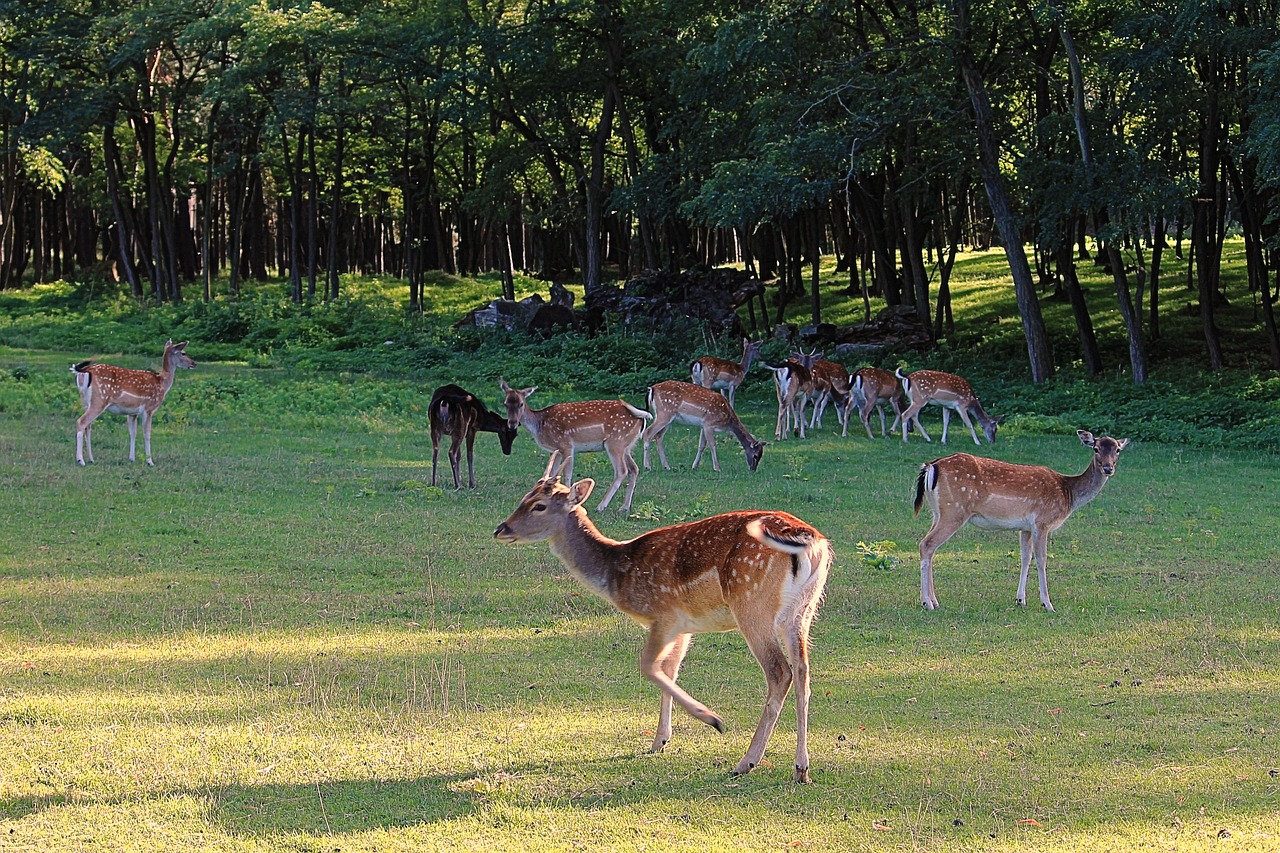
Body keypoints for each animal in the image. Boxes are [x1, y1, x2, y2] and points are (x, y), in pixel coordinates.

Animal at [71, 338, 197, 466]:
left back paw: (91, 459)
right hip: (99, 400)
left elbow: (133, 433)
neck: (162, 383)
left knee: (88, 426)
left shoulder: (132, 412)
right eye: (183, 353)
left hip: (85, 402)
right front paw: (149, 461)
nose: (194, 363)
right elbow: (147, 433)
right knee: (81, 422)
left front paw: (131, 458)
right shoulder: (149, 408)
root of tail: (85, 371)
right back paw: (81, 460)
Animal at [488, 450, 829, 778]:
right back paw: (801, 768)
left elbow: (649, 666)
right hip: (803, 611)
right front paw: (660, 740)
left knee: (780, 672)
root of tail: (813, 542)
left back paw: (747, 761)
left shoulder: (664, 615)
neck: (617, 573)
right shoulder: (685, 626)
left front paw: (712, 719)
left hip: (752, 603)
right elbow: (670, 670)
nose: (500, 529)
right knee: (803, 672)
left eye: (539, 505)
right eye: (524, 497)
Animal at [499, 379, 655, 512]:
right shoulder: (554, 450)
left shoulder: (566, 445)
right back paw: (624, 507)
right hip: (626, 446)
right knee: (634, 469)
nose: (512, 424)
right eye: (505, 403)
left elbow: (567, 474)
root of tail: (642, 417)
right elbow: (550, 473)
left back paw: (601, 506)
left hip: (615, 442)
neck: (540, 425)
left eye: (521, 404)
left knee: (622, 471)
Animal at [911, 432, 1131, 612]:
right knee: (926, 544)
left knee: (931, 548)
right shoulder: (1042, 521)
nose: (1108, 468)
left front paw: (1020, 600)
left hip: (937, 512)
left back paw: (935, 601)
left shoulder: (1025, 527)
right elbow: (1042, 559)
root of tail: (931, 466)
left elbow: (1026, 557)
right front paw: (1048, 604)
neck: (1068, 492)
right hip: (954, 511)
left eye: (1117, 450)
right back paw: (927, 603)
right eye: (1096, 448)